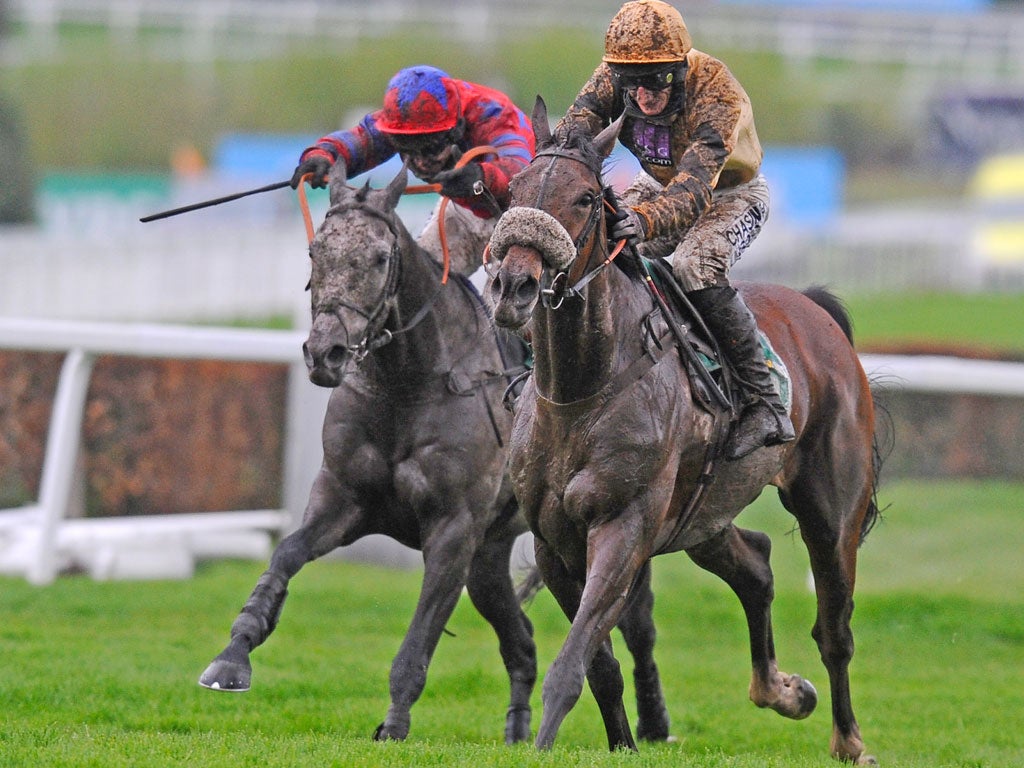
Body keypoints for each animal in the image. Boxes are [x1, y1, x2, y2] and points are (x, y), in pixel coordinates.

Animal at [198, 165, 671, 741]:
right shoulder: (344, 498)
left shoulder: (453, 529)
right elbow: (285, 555)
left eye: (380, 258)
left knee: (637, 626)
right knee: (522, 641)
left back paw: (654, 722)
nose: (325, 352)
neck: (409, 385)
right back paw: (517, 731)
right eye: (316, 252)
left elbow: (421, 635)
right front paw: (232, 656)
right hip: (490, 559)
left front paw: (394, 724)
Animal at [485, 100, 880, 765]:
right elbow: (599, 666)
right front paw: (623, 743)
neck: (580, 392)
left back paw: (849, 739)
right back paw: (781, 690)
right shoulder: (554, 543)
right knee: (756, 566)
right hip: (703, 514)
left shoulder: (623, 527)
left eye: (586, 197)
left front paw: (543, 744)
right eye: (513, 190)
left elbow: (571, 663)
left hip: (831, 511)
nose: (513, 286)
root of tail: (816, 313)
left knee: (835, 628)